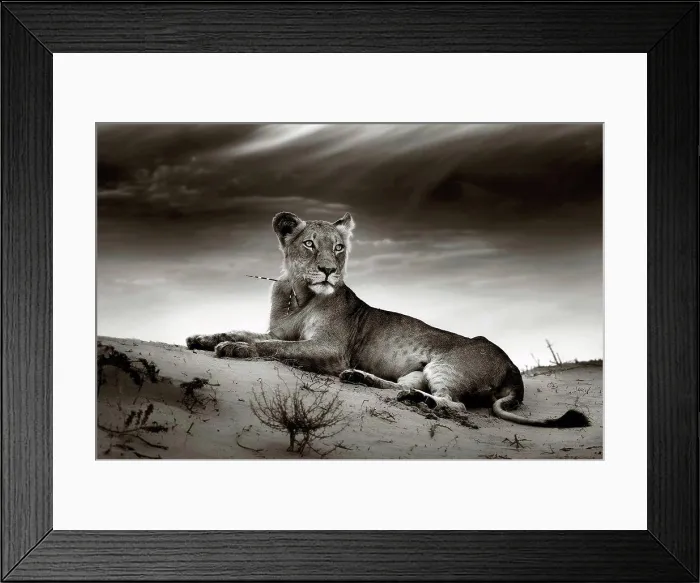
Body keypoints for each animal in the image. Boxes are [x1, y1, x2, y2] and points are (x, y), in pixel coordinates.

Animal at [186, 212, 589, 428]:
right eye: (309, 244)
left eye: (338, 247)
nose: (329, 271)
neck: (298, 295)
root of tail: (514, 369)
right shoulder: (281, 330)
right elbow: (251, 333)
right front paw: (202, 339)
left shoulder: (331, 349)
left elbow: (274, 348)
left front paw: (234, 349)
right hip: (417, 371)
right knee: (404, 387)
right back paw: (365, 380)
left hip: (446, 365)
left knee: (452, 404)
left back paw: (415, 401)